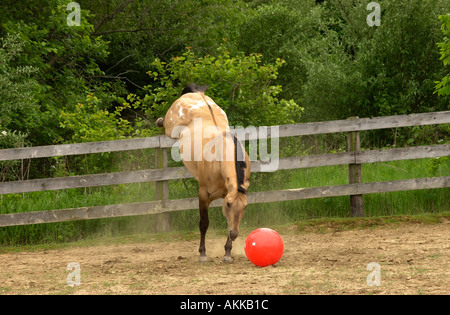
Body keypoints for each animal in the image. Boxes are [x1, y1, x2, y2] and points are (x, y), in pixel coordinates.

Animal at [156, 82, 251, 262]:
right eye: (229, 204)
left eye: (244, 207)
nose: (235, 234)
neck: (219, 159)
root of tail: (196, 94)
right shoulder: (203, 194)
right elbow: (204, 223)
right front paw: (202, 254)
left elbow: (228, 223)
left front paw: (227, 253)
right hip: (171, 128)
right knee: (163, 124)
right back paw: (159, 120)